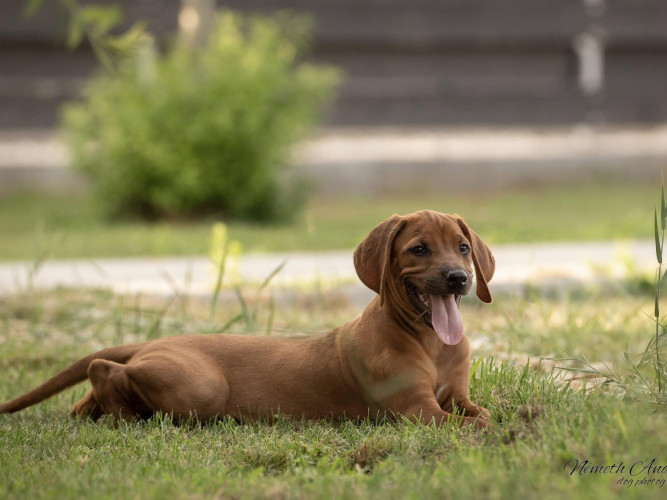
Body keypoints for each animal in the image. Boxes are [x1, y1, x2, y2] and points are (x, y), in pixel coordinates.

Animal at [0, 210, 495, 428]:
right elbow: (478, 424)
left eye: (462, 247)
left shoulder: (456, 397)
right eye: (418, 249)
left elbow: (483, 412)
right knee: (101, 368)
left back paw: (93, 412)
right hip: (200, 387)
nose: (457, 278)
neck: (429, 342)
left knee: (90, 391)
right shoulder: (418, 410)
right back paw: (121, 412)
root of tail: (151, 344)